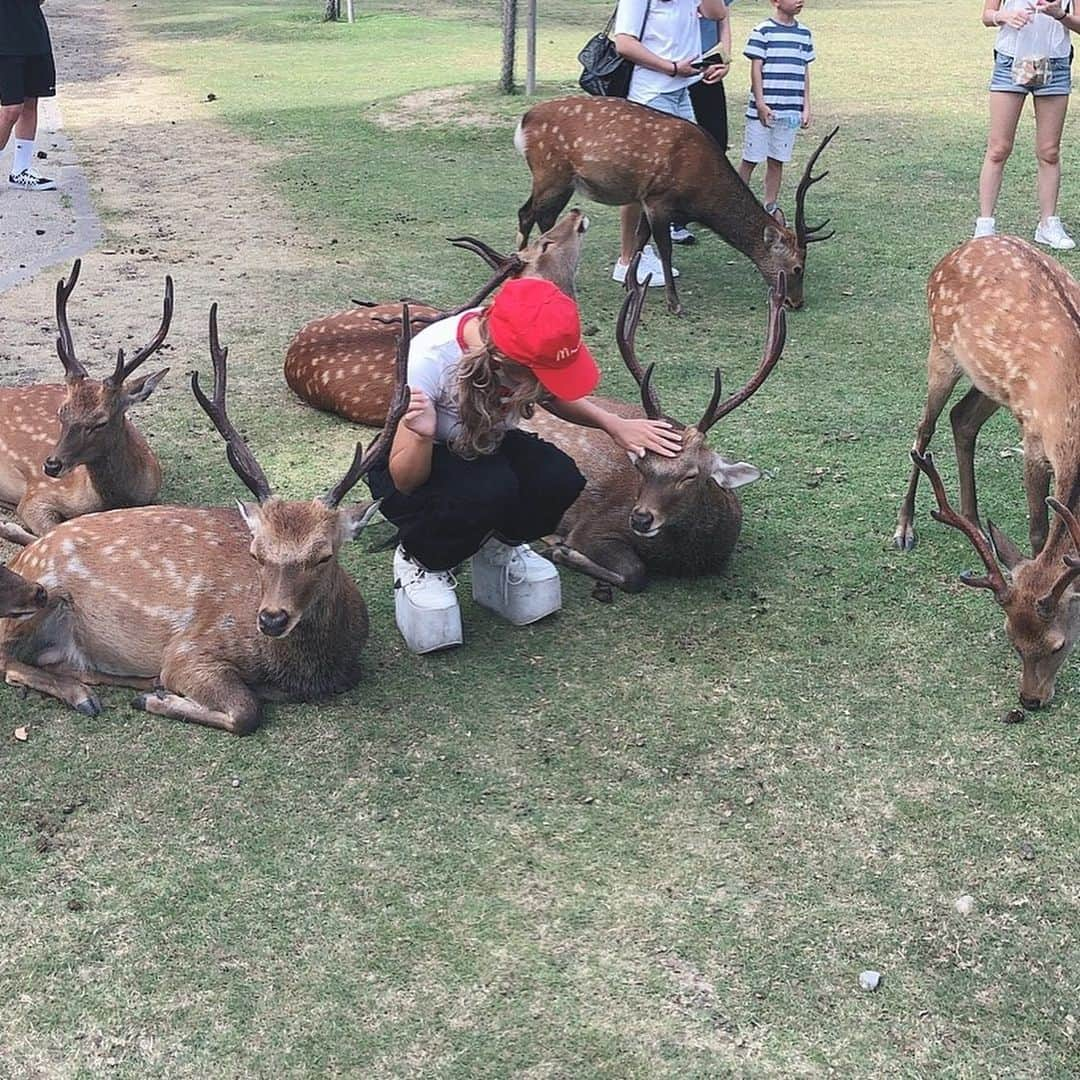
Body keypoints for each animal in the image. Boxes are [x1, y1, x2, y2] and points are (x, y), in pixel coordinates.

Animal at [0, 302, 410, 734]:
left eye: (324, 555)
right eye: (256, 554)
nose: (271, 619)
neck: (306, 671)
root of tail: (24, 559)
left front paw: (154, 693)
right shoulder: (188, 649)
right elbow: (245, 710)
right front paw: (156, 699)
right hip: (35, 595)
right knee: (7, 660)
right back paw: (85, 695)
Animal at [511, 94, 833, 315]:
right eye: (797, 268)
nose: (796, 302)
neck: (701, 193)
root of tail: (523, 122)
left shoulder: (645, 197)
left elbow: (641, 238)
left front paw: (631, 285)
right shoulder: (659, 199)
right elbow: (664, 249)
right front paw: (674, 303)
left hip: (560, 180)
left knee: (539, 216)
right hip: (551, 171)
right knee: (528, 213)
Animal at [522, 263, 786, 600]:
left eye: (691, 475)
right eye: (641, 466)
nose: (640, 518)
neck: (686, 557)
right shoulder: (593, 525)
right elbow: (635, 573)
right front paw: (561, 550)